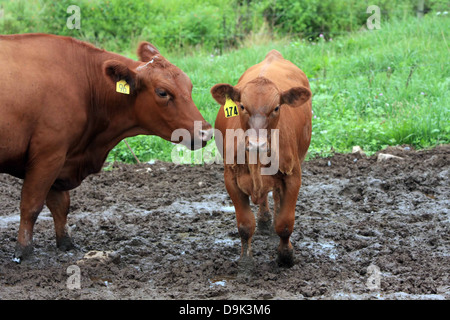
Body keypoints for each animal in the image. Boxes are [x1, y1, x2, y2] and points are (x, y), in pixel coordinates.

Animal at [0, 33, 213, 262]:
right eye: (163, 92)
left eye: (189, 86)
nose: (206, 132)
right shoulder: (48, 155)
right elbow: (31, 205)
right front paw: (23, 251)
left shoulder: (60, 159)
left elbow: (60, 205)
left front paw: (66, 243)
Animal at [210, 50, 310, 268]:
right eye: (242, 106)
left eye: (276, 108)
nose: (258, 144)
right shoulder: (231, 179)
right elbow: (245, 225)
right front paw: (246, 261)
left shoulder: (293, 176)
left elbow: (285, 223)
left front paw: (285, 256)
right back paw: (264, 220)